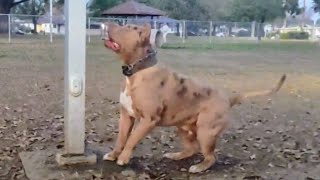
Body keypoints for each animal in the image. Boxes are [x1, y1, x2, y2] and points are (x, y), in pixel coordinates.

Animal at [102, 22, 284, 173]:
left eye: (127, 27)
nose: (107, 23)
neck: (137, 71)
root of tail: (227, 99)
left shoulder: (148, 120)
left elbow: (131, 139)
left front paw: (123, 158)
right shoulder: (126, 116)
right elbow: (121, 138)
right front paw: (113, 155)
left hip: (206, 132)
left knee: (211, 157)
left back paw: (199, 167)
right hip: (183, 128)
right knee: (192, 149)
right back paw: (176, 156)